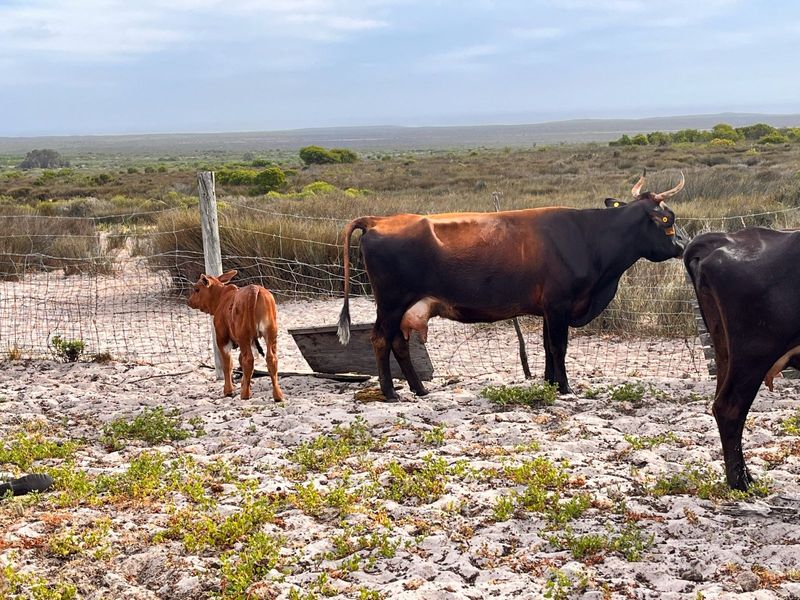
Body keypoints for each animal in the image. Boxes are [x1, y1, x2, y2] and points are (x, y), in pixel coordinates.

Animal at [188, 270, 284, 400]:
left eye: (196, 289)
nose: (189, 301)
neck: (222, 298)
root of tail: (254, 289)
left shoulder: (222, 340)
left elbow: (228, 364)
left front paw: (228, 390)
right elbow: (239, 360)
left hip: (244, 336)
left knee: (248, 360)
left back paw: (245, 394)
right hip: (270, 333)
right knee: (271, 358)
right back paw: (277, 395)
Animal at [338, 171, 688, 400]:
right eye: (668, 219)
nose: (684, 244)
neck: (590, 238)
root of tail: (380, 220)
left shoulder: (548, 308)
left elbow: (547, 346)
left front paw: (550, 383)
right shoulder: (559, 304)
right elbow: (559, 346)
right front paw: (565, 387)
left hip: (403, 306)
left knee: (399, 343)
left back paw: (419, 389)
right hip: (391, 303)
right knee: (381, 340)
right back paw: (390, 392)